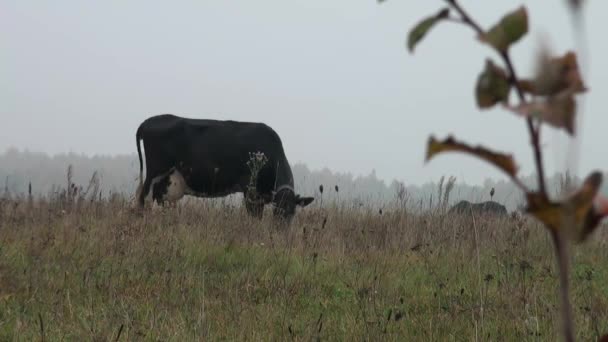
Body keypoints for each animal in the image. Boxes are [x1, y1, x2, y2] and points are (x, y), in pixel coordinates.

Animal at [134, 113, 314, 218]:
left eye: (292, 214)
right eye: (277, 212)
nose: (281, 232)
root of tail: (148, 121)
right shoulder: (250, 191)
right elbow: (254, 217)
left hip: (167, 180)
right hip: (155, 172)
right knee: (143, 197)